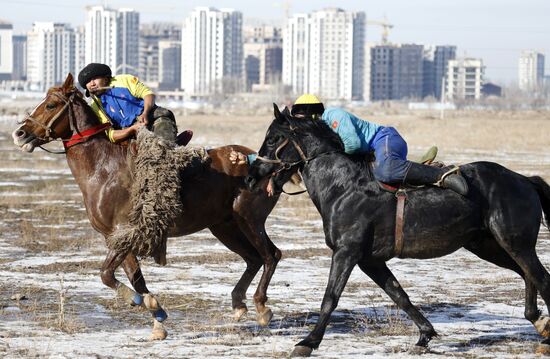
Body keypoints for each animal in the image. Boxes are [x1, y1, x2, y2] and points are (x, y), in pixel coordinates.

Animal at [11, 74, 284, 340]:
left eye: (50, 105)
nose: (19, 134)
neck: (103, 168)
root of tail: (265, 163)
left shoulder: (125, 232)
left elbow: (107, 274)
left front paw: (137, 301)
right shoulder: (116, 236)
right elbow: (135, 279)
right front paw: (157, 317)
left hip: (250, 220)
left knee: (271, 255)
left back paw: (262, 307)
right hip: (224, 226)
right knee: (253, 259)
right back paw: (239, 304)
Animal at [248, 104, 550, 358]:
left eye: (273, 138)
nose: (251, 177)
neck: (341, 186)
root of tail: (525, 179)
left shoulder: (346, 252)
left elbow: (330, 298)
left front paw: (307, 342)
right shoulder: (370, 260)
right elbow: (398, 294)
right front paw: (425, 334)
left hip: (514, 241)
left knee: (540, 277)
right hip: (487, 245)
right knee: (527, 274)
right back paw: (539, 322)